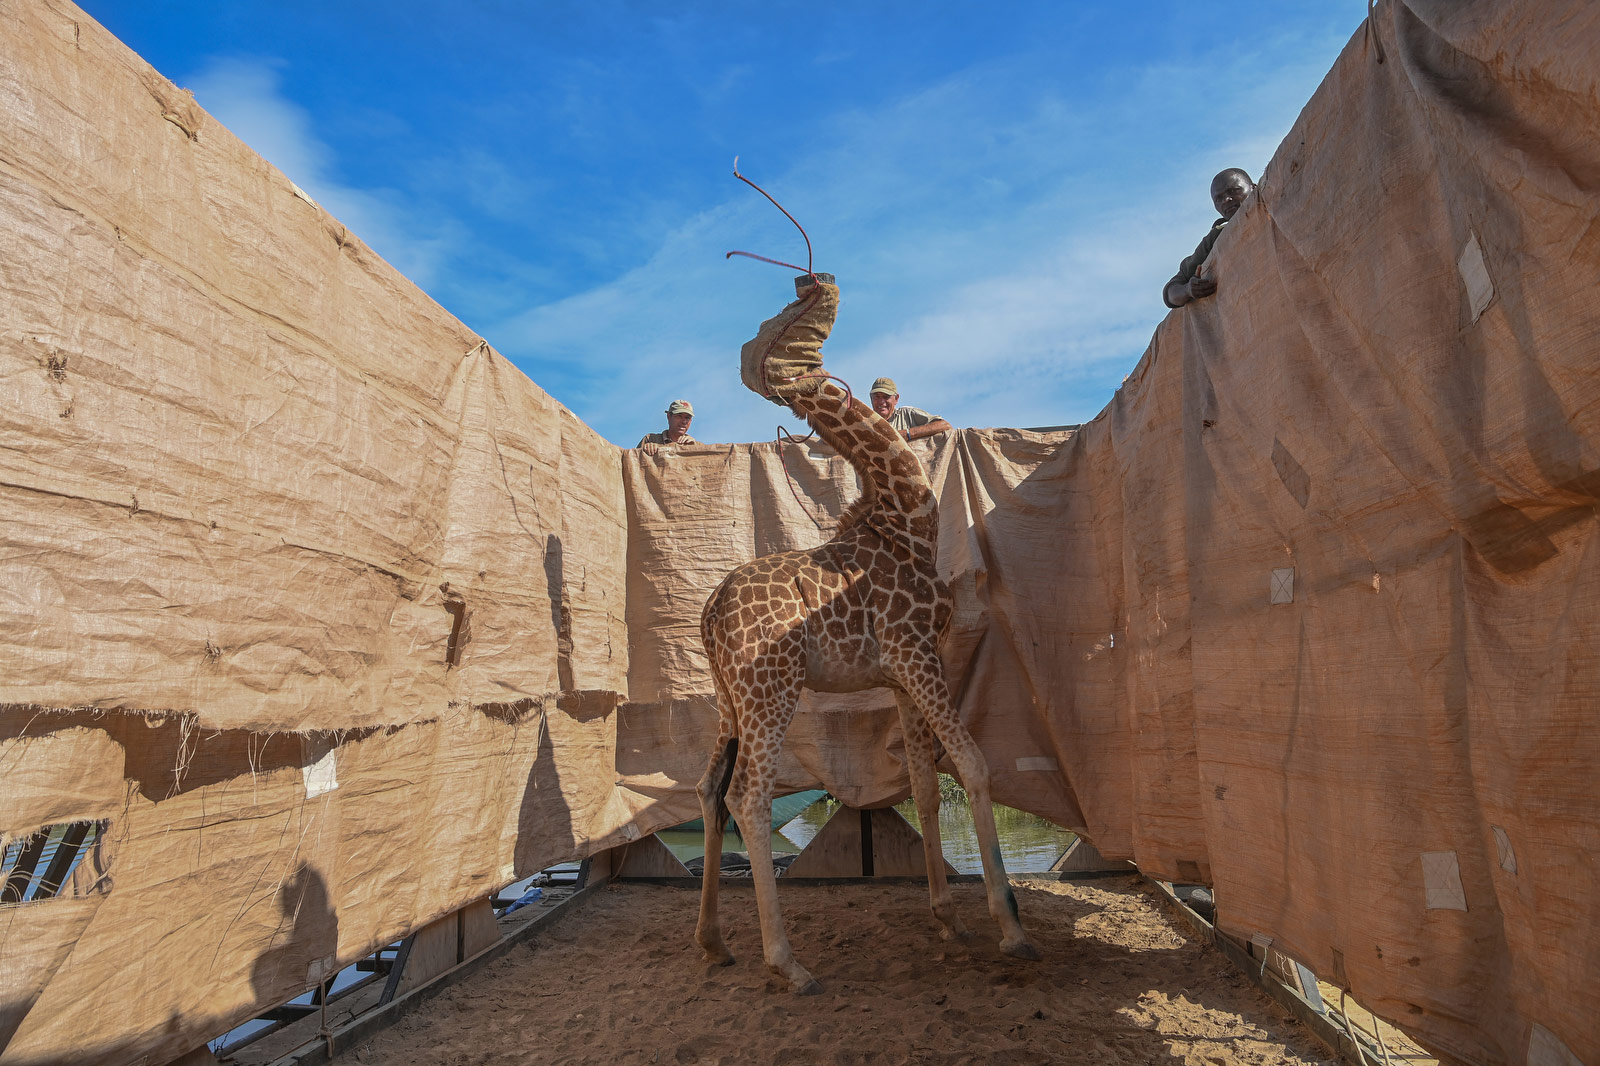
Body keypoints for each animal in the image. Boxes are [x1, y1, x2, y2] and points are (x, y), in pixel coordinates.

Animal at [694, 272, 1043, 985]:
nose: (818, 280)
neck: (906, 518)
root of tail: (711, 613)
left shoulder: (904, 671)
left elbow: (925, 787)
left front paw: (948, 922)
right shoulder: (916, 654)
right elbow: (974, 764)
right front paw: (1010, 926)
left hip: (728, 700)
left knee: (710, 790)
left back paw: (714, 942)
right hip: (772, 690)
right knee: (749, 797)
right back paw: (788, 964)